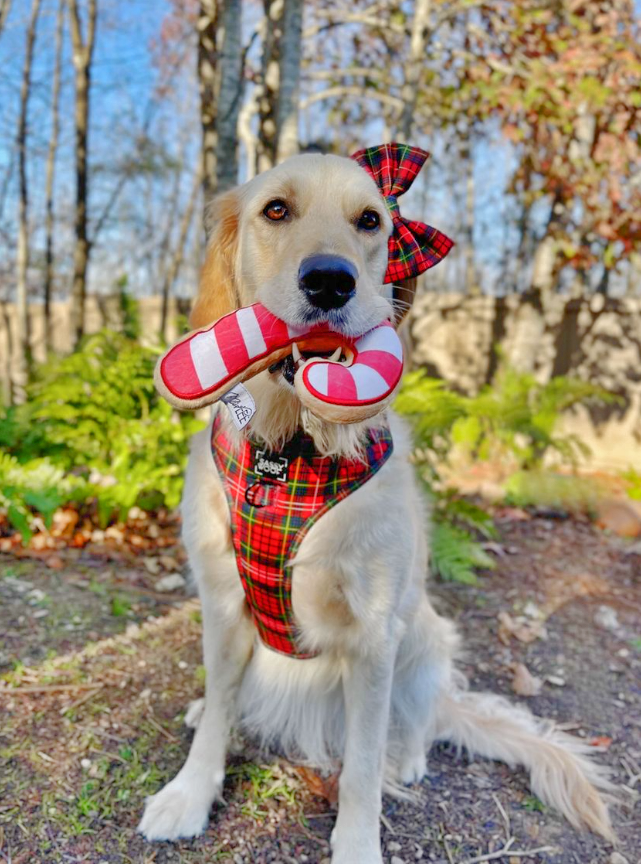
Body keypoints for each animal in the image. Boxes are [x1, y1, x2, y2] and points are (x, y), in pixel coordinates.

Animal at [139, 152, 608, 860]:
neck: (294, 451)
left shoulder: (373, 635)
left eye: (370, 221)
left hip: (425, 637)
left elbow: (360, 764)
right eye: (276, 209)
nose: (331, 281)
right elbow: (220, 709)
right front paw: (190, 793)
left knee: (414, 722)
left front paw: (357, 842)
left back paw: (406, 758)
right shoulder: (221, 603)